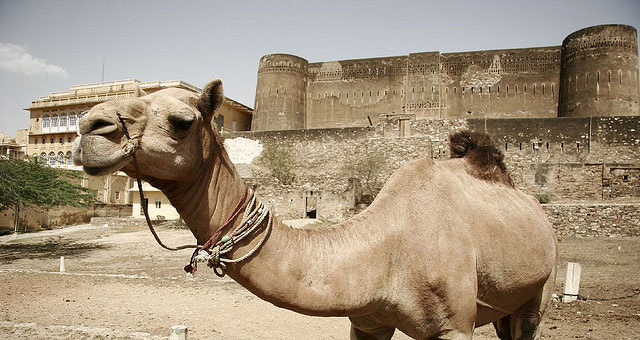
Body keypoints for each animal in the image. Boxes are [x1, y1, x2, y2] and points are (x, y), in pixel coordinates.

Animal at [74, 79, 556, 340]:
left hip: (539, 289)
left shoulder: (455, 325)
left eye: (181, 121)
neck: (383, 253)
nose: (89, 127)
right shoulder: (368, 320)